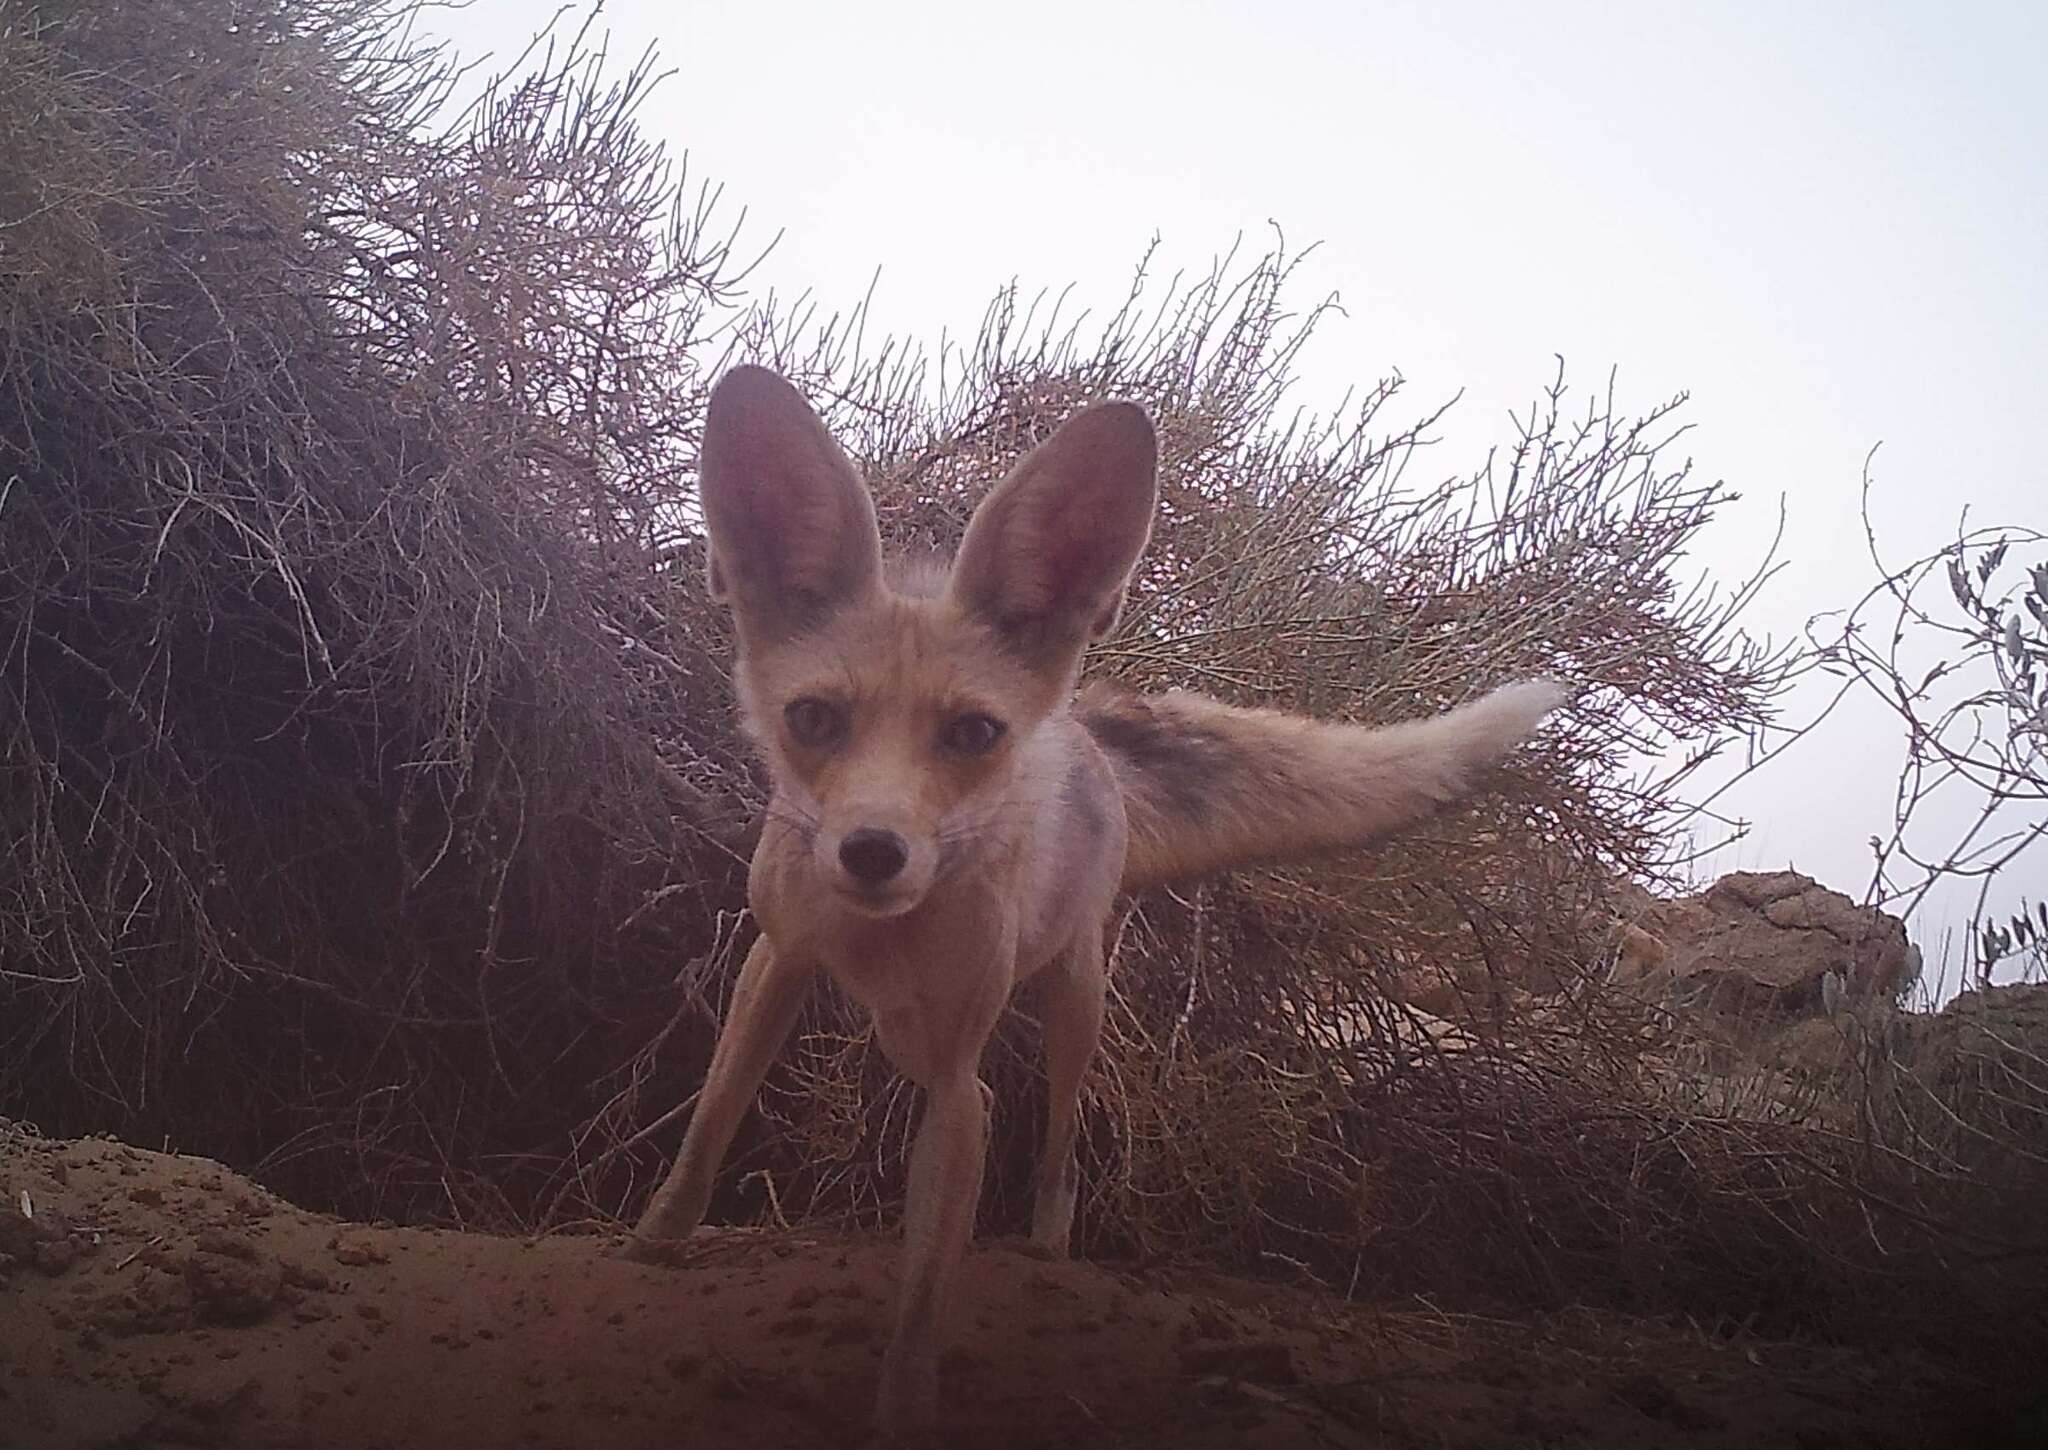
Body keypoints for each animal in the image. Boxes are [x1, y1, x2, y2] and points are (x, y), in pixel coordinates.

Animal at [630, 368, 1556, 1433]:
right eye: (813, 719)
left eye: (972, 734)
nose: (871, 853)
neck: (875, 943)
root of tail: (1084, 732)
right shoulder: (776, 959)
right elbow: (708, 1123)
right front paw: (651, 1243)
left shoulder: (958, 1076)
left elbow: (923, 1295)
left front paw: (905, 1407)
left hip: (1070, 1003)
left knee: (1060, 1145)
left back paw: (1047, 1251)